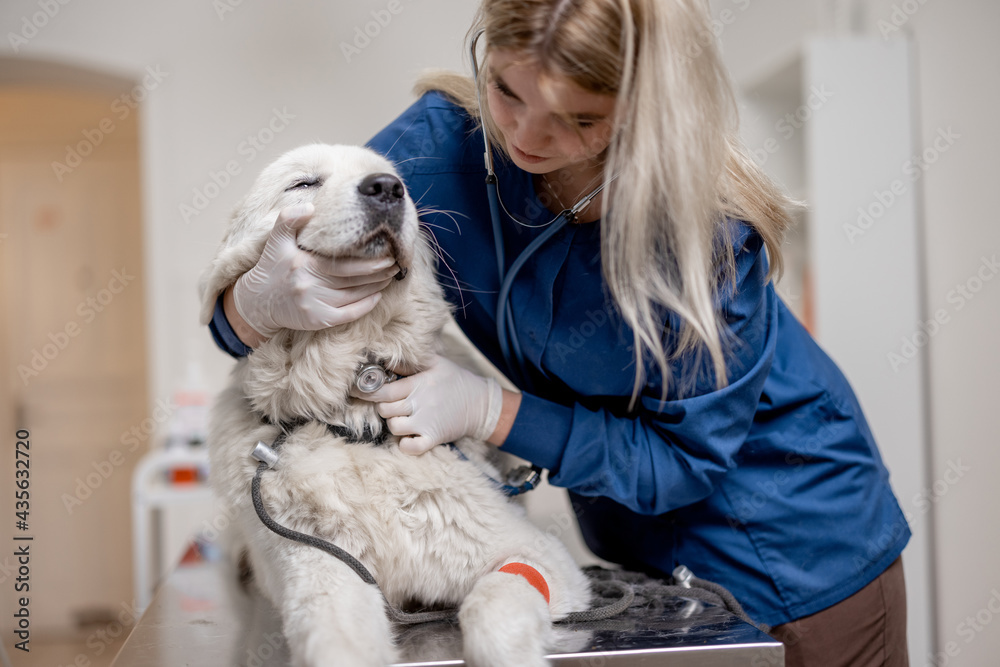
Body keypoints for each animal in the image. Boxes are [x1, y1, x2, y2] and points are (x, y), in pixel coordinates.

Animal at [199, 144, 596, 664]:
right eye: (303, 184)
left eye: (395, 179)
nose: (386, 188)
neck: (356, 418)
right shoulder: (323, 568)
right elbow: (335, 642)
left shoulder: (538, 558)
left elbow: (493, 605)